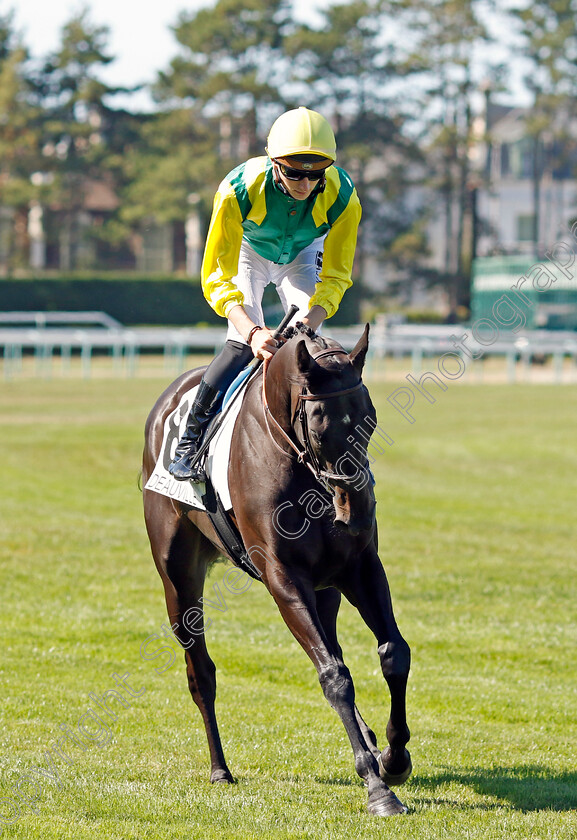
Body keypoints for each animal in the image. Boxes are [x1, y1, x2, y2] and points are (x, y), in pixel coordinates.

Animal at [142, 322, 412, 812]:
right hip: (179, 581)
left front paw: (393, 757)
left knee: (336, 645)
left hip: (327, 590)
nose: (358, 511)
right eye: (321, 427)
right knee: (201, 673)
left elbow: (392, 654)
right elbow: (334, 676)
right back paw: (220, 768)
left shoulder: (359, 567)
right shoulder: (284, 579)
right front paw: (377, 787)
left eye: (369, 419)